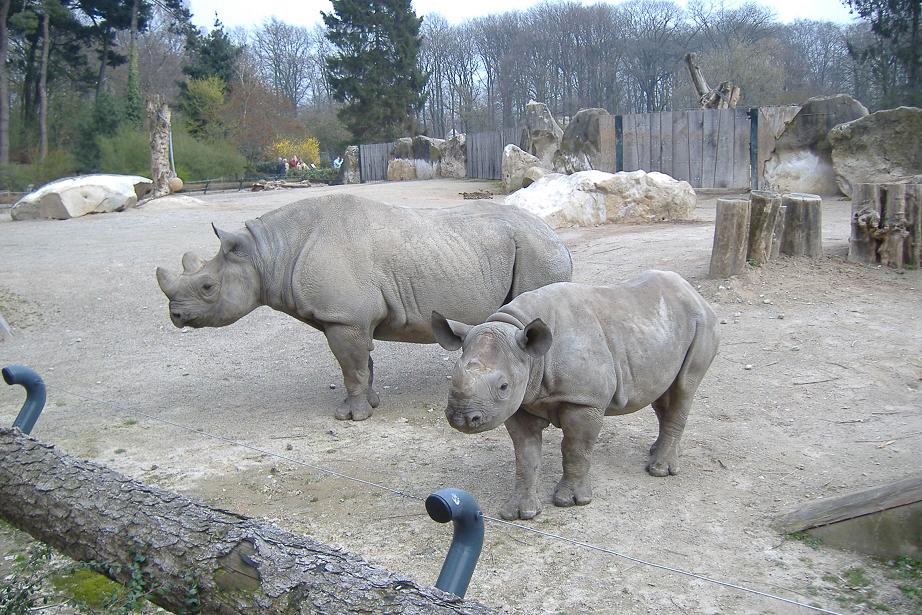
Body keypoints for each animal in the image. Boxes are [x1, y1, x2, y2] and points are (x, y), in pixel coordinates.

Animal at [156, 193, 572, 420]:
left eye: (207, 287)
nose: (175, 316)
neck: (268, 253)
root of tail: (559, 239)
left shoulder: (344, 318)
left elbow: (351, 367)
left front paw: (350, 417)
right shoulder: (347, 318)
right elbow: (363, 365)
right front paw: (370, 403)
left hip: (537, 253)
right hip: (531, 250)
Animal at [431, 270, 718, 520]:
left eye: (503, 387)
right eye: (453, 376)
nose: (461, 419)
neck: (532, 355)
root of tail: (694, 293)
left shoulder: (584, 400)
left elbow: (575, 448)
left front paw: (571, 501)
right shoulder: (521, 402)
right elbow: (525, 455)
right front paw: (521, 512)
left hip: (702, 323)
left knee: (684, 387)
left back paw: (660, 470)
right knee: (662, 395)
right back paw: (657, 452)